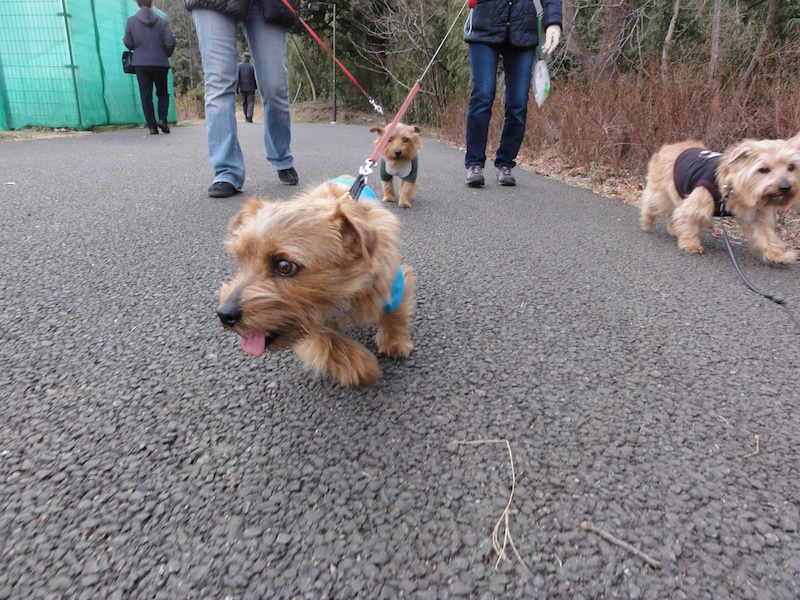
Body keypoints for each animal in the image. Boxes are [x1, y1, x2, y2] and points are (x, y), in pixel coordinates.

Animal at [216, 178, 416, 387]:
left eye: (284, 266)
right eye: (241, 259)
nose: (224, 314)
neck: (344, 289)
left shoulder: (393, 283)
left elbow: (395, 313)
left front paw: (395, 342)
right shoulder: (308, 319)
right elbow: (328, 341)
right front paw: (361, 365)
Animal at [640, 138, 800, 264]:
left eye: (791, 167)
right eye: (764, 169)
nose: (785, 186)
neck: (731, 185)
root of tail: (669, 146)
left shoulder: (755, 216)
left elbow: (766, 236)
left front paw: (778, 255)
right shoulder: (697, 201)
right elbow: (688, 219)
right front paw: (690, 244)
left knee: (671, 213)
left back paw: (673, 229)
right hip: (661, 193)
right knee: (651, 204)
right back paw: (646, 222)